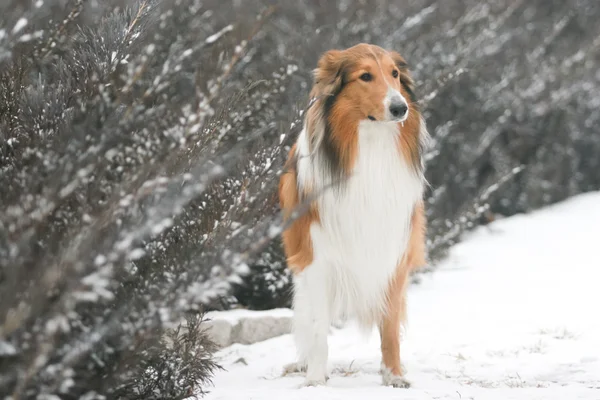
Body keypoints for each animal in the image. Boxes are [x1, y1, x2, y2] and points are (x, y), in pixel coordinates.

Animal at [278, 43, 428, 388]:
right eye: (365, 76)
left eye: (395, 74)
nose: (401, 108)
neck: (370, 145)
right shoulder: (316, 258)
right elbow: (318, 327)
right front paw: (315, 381)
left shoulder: (393, 253)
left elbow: (390, 327)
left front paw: (394, 376)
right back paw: (303, 363)